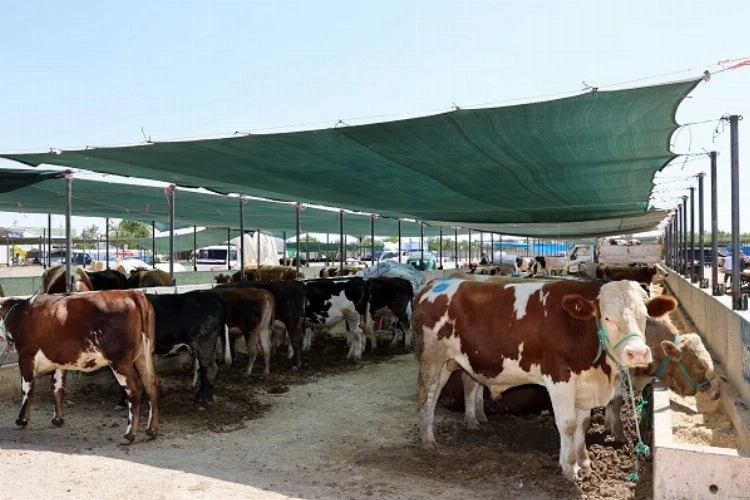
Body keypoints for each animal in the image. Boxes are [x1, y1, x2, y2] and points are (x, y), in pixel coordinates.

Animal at [0, 292, 159, 444]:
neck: (19, 313)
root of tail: (132, 293)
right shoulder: (58, 361)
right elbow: (57, 388)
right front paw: (58, 419)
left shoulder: (26, 357)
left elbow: (26, 390)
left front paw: (21, 420)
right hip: (144, 355)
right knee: (151, 384)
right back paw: (151, 430)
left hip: (120, 361)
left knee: (135, 389)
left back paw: (129, 435)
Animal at [414, 280, 680, 478]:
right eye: (607, 317)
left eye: (644, 315)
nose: (638, 353)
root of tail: (432, 285)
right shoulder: (560, 378)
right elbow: (568, 424)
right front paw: (570, 468)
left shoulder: (584, 384)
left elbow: (583, 424)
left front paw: (584, 462)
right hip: (432, 357)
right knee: (427, 396)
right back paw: (428, 441)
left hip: (453, 361)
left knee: (454, 388)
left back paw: (466, 423)